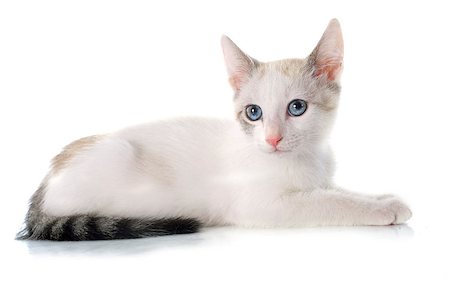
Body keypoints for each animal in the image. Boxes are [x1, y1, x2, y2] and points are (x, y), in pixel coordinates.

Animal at [16, 18, 412, 240]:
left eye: (297, 108)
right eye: (253, 113)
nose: (272, 139)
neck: (306, 159)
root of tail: (43, 187)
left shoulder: (319, 178)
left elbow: (336, 190)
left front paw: (383, 197)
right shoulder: (262, 206)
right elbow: (330, 201)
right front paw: (383, 209)